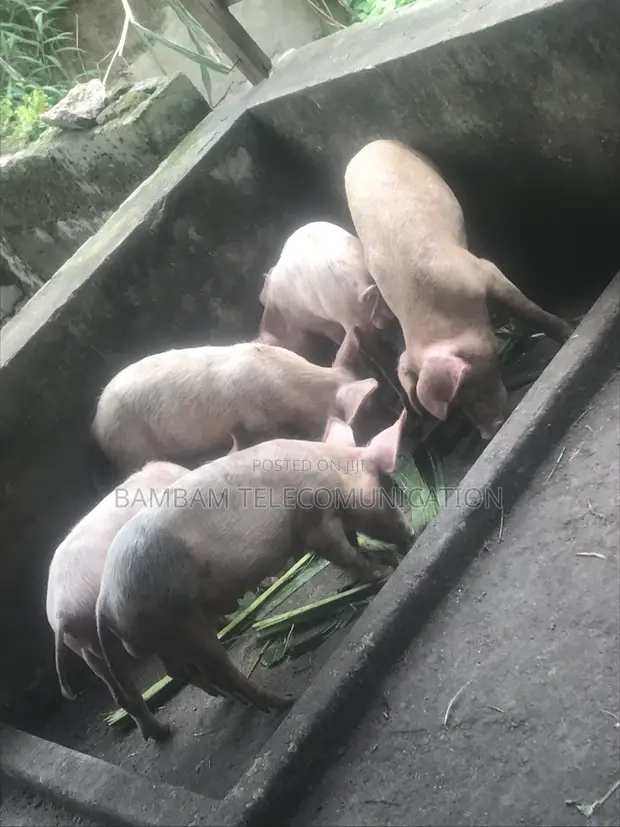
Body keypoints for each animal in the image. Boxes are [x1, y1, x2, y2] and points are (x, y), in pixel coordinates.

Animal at [46, 461, 190, 741]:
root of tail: (61, 613)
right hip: (102, 630)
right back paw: (164, 731)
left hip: (82, 646)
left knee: (121, 695)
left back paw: (159, 732)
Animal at [95, 411, 413, 737]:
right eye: (385, 485)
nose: (411, 533)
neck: (333, 471)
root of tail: (104, 603)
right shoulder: (314, 522)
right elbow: (343, 553)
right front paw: (384, 571)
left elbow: (351, 542)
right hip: (182, 622)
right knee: (217, 671)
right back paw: (282, 702)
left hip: (166, 636)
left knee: (180, 671)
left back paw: (213, 705)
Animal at [344, 139, 574, 439]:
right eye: (455, 408)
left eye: (464, 387)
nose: (488, 434)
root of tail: (369, 145)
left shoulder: (481, 272)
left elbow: (528, 308)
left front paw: (569, 334)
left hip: (429, 164)